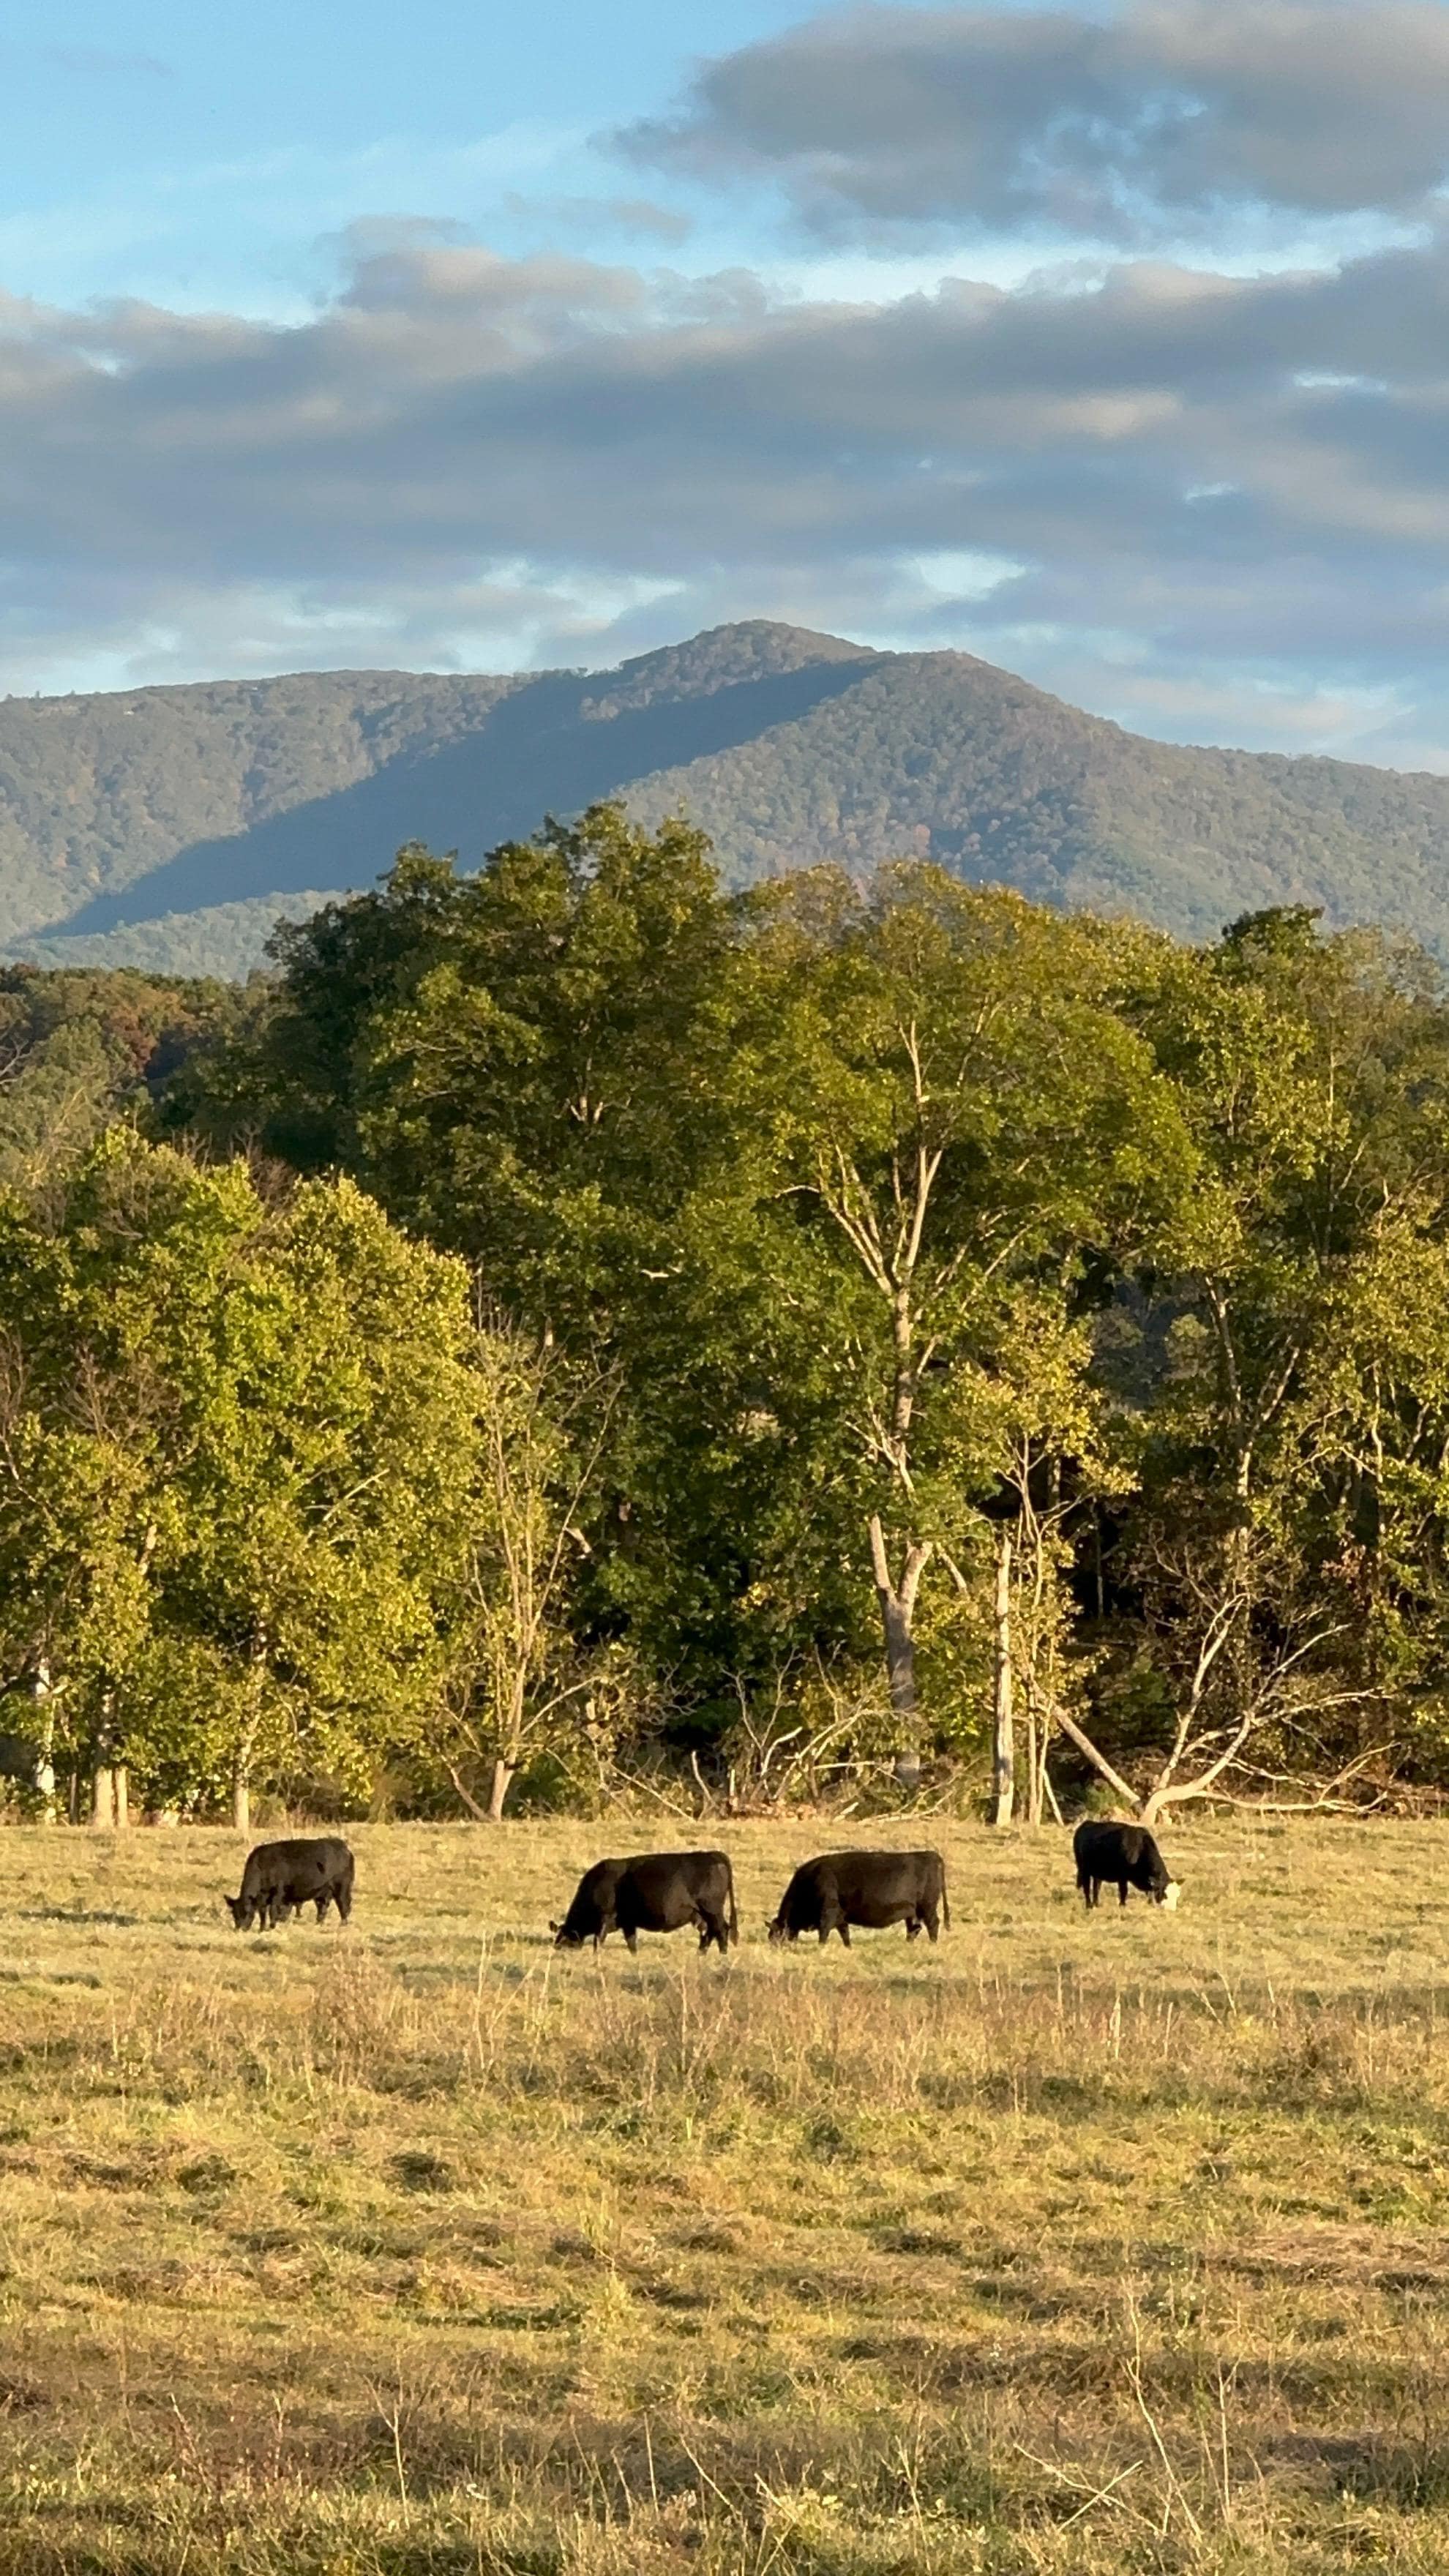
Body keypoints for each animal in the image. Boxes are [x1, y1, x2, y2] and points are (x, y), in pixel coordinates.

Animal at [226, 1836, 355, 1932]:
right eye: (234, 1913)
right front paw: (262, 1929)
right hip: (323, 1891)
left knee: (344, 1905)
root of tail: (343, 1847)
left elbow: (272, 1910)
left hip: (342, 1886)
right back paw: (318, 1923)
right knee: (323, 1906)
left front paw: (271, 1927)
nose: (240, 1928)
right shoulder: (262, 1899)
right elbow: (263, 1913)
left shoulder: (278, 1892)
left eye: (247, 1911)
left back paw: (343, 1924)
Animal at [551, 1850, 737, 1955]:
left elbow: (599, 1941)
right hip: (702, 1914)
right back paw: (701, 1954)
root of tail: (713, 1854)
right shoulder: (628, 1922)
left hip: (712, 1909)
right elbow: (631, 1942)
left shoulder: (605, 1917)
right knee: (709, 1933)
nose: (556, 1947)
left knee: (721, 1930)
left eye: (564, 1935)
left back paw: (723, 1955)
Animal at [769, 1848, 950, 1948]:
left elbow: (824, 1932)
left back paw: (933, 1943)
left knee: (933, 1924)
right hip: (912, 1912)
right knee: (914, 1929)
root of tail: (931, 1855)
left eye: (776, 1935)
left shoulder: (828, 1912)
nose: (775, 1949)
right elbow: (845, 1934)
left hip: (927, 1907)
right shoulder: (841, 1917)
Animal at [1073, 1819, 1180, 1911]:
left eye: (1177, 1895)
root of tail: (1086, 1824)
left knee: (1096, 1887)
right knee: (1087, 1888)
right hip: (1084, 1870)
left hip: (1097, 1872)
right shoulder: (1122, 1876)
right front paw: (1122, 1906)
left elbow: (1150, 1892)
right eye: (1165, 1895)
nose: (1171, 1910)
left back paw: (1096, 1904)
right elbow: (1124, 1891)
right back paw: (1089, 1906)